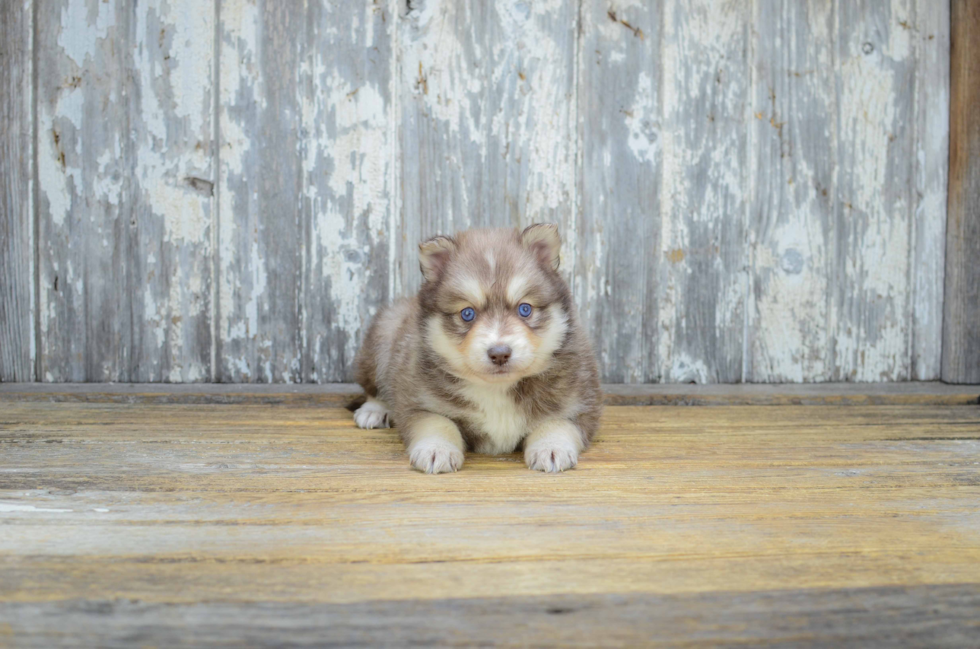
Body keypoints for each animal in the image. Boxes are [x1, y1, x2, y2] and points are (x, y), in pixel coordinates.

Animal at [348, 225, 600, 474]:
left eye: (525, 309)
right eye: (467, 313)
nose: (499, 353)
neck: (497, 390)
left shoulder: (580, 403)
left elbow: (557, 422)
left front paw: (552, 447)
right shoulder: (417, 402)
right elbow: (437, 422)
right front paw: (436, 449)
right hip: (383, 335)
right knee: (373, 388)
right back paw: (374, 411)